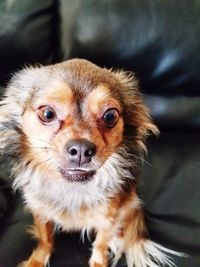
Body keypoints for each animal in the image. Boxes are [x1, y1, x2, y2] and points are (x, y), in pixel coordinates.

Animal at [0, 60, 177, 267]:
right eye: (47, 113)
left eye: (110, 116)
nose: (81, 149)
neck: (72, 189)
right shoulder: (40, 210)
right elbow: (45, 238)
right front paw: (36, 260)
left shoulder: (109, 217)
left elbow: (100, 243)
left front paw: (99, 261)